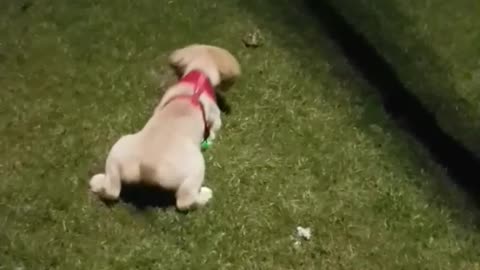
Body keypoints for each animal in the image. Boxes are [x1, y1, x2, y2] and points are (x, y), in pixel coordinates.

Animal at [88, 44, 242, 210]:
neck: (198, 77)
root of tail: (147, 166)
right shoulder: (214, 117)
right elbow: (213, 129)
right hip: (196, 168)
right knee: (184, 201)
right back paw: (204, 196)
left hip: (119, 149)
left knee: (112, 189)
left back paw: (97, 181)